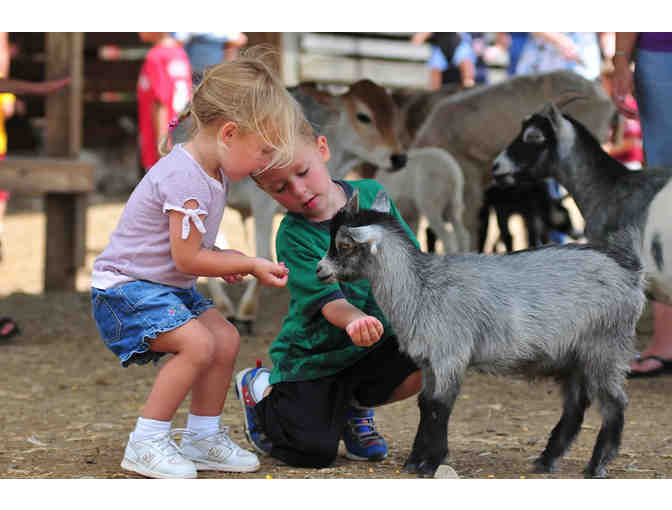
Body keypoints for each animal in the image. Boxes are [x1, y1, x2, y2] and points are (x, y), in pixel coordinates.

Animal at [318, 188, 644, 478]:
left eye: (345, 245)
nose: (321, 270)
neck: (421, 288)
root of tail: (631, 273)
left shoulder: (450, 355)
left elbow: (440, 406)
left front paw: (430, 464)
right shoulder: (429, 362)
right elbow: (425, 404)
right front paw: (414, 461)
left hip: (605, 347)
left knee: (614, 404)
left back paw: (596, 466)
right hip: (574, 356)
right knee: (576, 407)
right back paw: (546, 460)